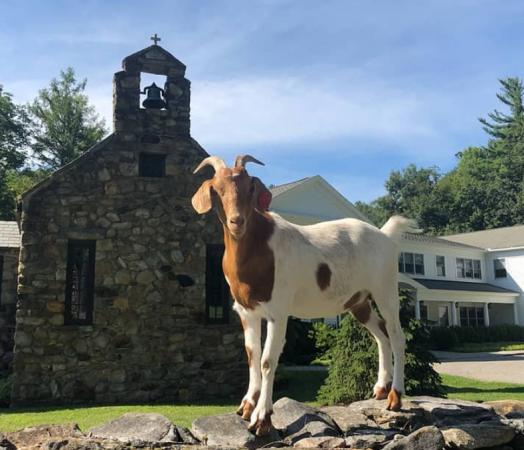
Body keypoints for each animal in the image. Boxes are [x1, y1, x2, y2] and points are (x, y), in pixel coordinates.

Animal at [191, 155, 414, 436]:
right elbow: (252, 355)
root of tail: (385, 235)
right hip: (359, 301)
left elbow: (267, 360)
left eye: (250, 187)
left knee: (396, 336)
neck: (256, 249)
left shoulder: (278, 310)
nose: (237, 221)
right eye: (217, 189)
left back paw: (396, 397)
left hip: (385, 288)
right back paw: (381, 388)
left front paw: (262, 418)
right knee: (381, 334)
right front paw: (246, 406)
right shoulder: (246, 311)